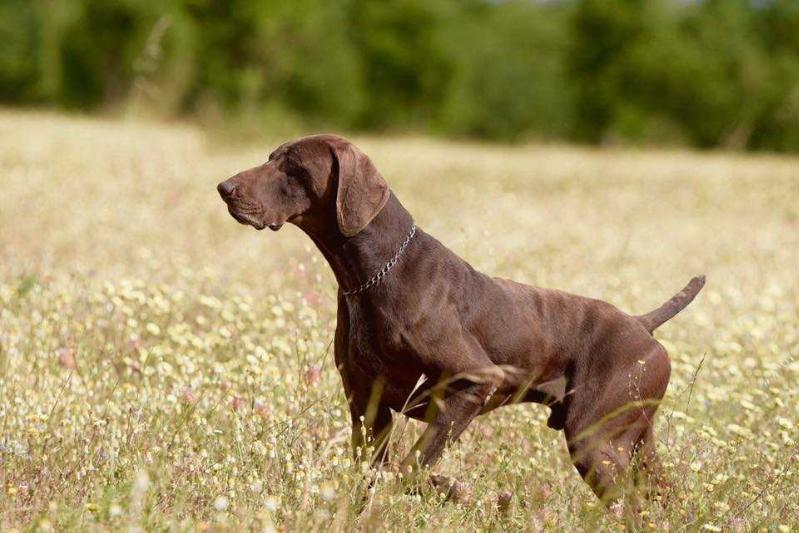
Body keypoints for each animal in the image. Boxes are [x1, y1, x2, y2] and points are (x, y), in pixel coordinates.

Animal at [219, 135, 708, 500]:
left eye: (293, 167)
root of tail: (642, 323)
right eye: (271, 158)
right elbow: (382, 471)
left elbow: (410, 468)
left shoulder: (473, 384)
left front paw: (450, 488)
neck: (374, 273)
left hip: (595, 442)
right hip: (632, 444)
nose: (224, 188)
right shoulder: (366, 402)